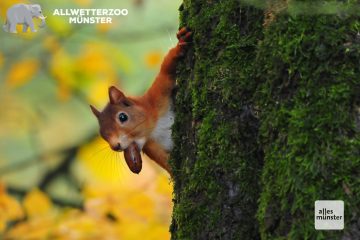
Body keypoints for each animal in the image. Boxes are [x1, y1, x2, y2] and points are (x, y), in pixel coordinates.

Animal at [89, 27, 191, 174]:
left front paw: (180, 44)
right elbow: (167, 163)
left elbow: (166, 70)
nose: (115, 146)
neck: (153, 128)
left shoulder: (156, 95)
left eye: (123, 117)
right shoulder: (152, 147)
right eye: (102, 133)